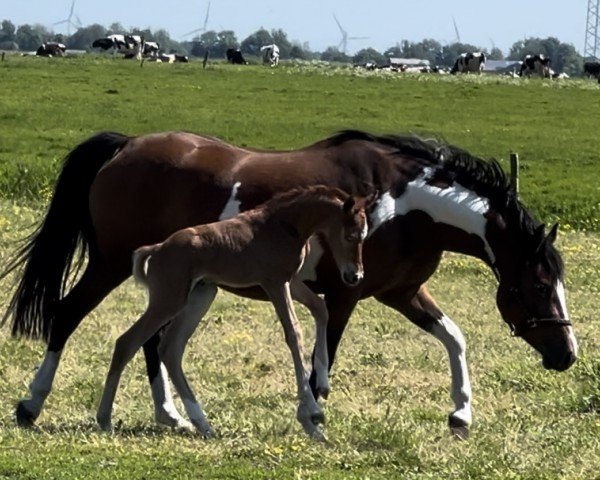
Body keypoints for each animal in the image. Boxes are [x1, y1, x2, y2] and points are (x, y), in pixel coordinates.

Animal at [95, 186, 370, 440]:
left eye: (363, 236)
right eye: (350, 236)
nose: (355, 275)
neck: (285, 225)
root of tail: (156, 249)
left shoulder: (290, 282)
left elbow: (320, 309)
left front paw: (322, 386)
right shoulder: (274, 283)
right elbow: (294, 331)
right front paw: (311, 413)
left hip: (200, 295)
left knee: (170, 348)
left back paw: (202, 423)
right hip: (169, 300)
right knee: (128, 342)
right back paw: (105, 419)